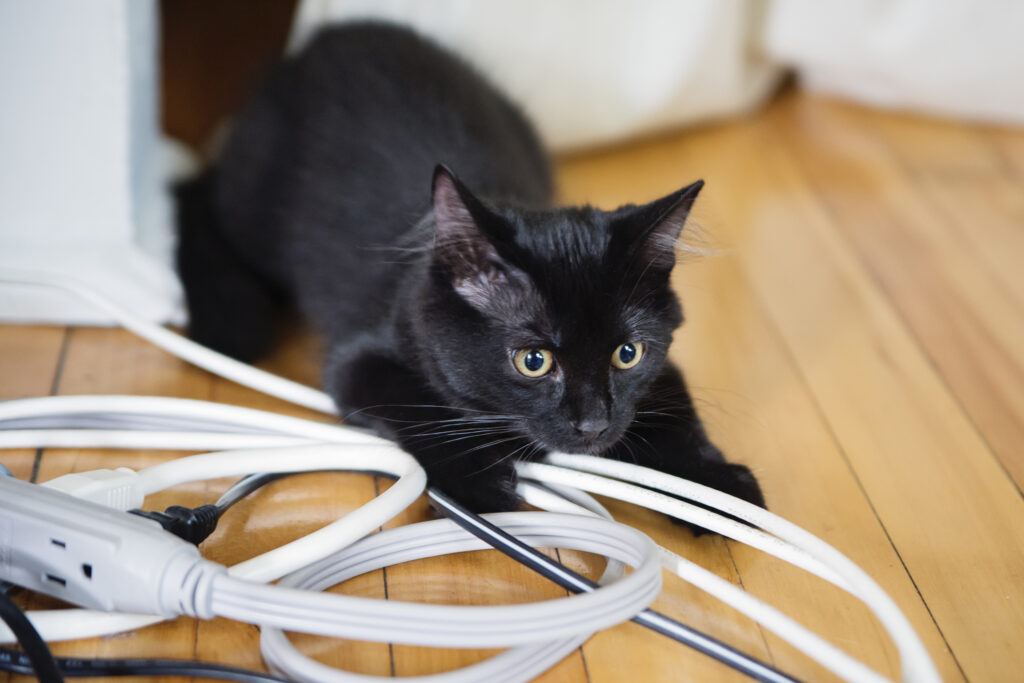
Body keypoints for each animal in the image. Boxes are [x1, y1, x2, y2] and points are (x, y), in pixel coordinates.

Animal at [178, 24, 770, 520]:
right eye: (534, 361)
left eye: (628, 354)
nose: (594, 424)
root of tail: (320, 40)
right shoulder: (358, 358)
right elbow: (414, 402)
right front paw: (478, 483)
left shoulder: (662, 367)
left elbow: (674, 407)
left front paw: (717, 485)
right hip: (249, 205)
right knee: (195, 194)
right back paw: (228, 316)